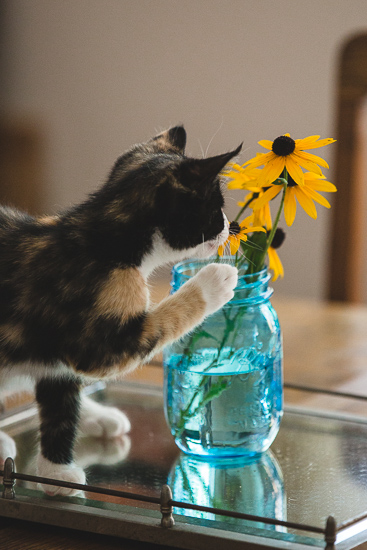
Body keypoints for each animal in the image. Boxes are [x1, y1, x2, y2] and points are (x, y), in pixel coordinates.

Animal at [0, 126, 240, 496]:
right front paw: (214, 281)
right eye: (217, 208)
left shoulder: (60, 354)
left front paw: (55, 472)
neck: (104, 239)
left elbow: (59, 402)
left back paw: (98, 416)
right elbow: (157, 324)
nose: (230, 226)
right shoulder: (94, 340)